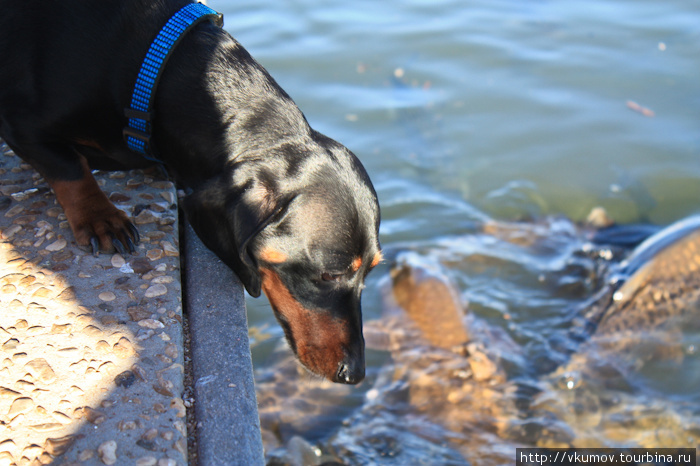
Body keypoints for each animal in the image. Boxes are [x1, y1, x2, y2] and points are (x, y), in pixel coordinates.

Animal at [0, 0, 380, 384]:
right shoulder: (21, 127)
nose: (356, 373)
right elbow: (71, 170)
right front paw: (100, 216)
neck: (152, 74)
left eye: (370, 270)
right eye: (328, 275)